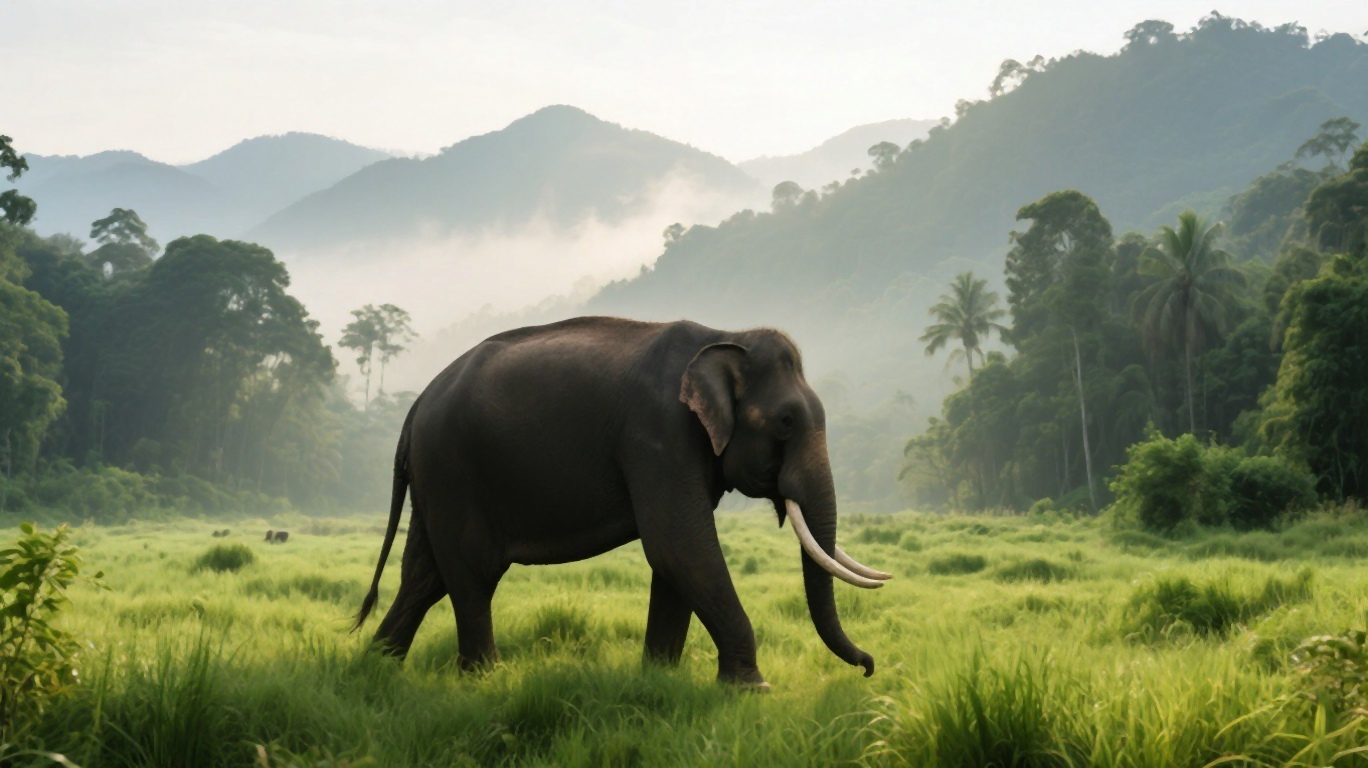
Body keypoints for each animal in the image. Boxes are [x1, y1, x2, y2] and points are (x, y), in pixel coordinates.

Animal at [354, 317, 890, 687]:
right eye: (785, 422)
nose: (868, 667)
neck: (724, 334)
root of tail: (415, 408)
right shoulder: (658, 436)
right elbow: (678, 545)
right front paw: (752, 688)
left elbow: (678, 559)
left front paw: (660, 680)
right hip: (454, 469)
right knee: (471, 573)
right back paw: (483, 680)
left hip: (437, 481)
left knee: (425, 576)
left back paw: (375, 670)